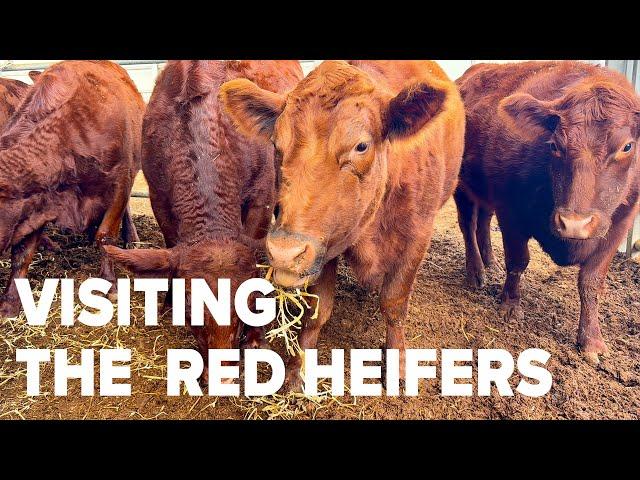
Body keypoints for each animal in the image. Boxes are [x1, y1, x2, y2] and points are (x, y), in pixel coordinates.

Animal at [0, 60, 142, 316]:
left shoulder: (119, 183)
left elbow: (106, 236)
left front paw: (110, 283)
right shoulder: (37, 201)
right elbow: (22, 253)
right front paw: (10, 303)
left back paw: (131, 239)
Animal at [104, 61, 304, 382]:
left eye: (248, 302)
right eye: (189, 307)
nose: (222, 378)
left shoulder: (262, 197)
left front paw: (256, 337)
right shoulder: (159, 197)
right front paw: (168, 304)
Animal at [220, 60, 464, 390]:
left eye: (361, 146)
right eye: (276, 144)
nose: (284, 251)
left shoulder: (417, 238)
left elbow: (394, 305)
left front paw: (398, 367)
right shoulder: (324, 246)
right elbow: (317, 310)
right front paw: (298, 372)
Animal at [456, 62, 640, 366]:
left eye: (627, 146)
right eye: (554, 145)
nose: (574, 224)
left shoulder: (619, 226)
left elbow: (591, 281)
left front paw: (591, 339)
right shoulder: (511, 211)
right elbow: (518, 261)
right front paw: (510, 305)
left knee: (482, 221)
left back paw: (490, 260)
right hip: (461, 186)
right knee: (468, 225)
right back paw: (476, 272)